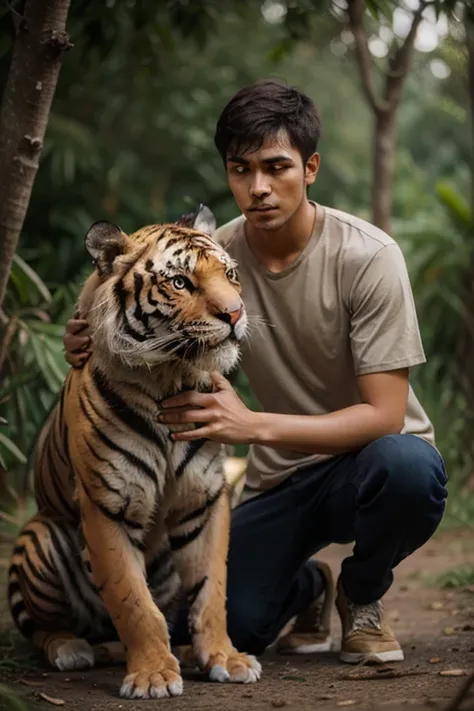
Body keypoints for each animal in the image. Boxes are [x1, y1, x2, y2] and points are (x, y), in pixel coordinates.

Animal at [6, 204, 262, 700]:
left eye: (230, 274)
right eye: (180, 282)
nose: (235, 313)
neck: (169, 380)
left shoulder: (204, 499)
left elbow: (211, 590)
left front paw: (226, 659)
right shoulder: (108, 506)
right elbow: (131, 599)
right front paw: (153, 676)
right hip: (41, 534)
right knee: (46, 628)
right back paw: (71, 649)